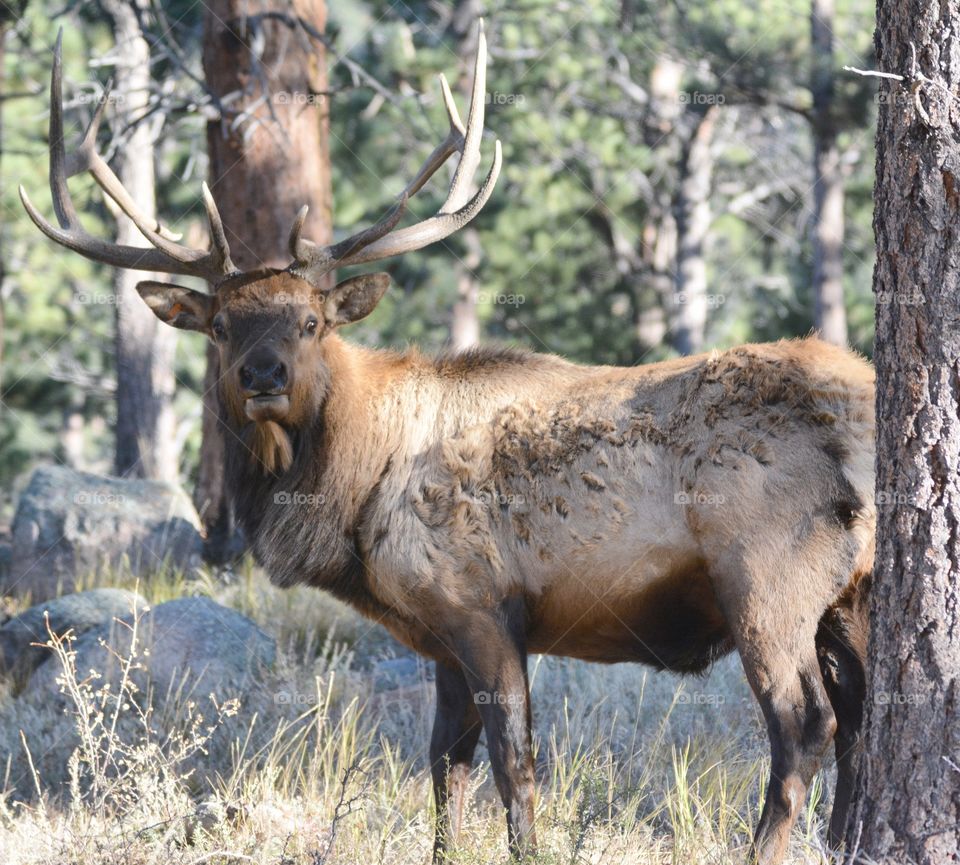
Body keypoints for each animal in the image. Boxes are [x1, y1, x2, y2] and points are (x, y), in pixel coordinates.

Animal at [22, 26, 874, 865]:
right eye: (223, 325)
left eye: (310, 321)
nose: (263, 374)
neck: (354, 493)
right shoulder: (436, 635)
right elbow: (443, 766)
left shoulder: (480, 603)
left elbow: (512, 763)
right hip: (849, 591)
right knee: (862, 712)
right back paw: (847, 843)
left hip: (764, 572)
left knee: (805, 723)